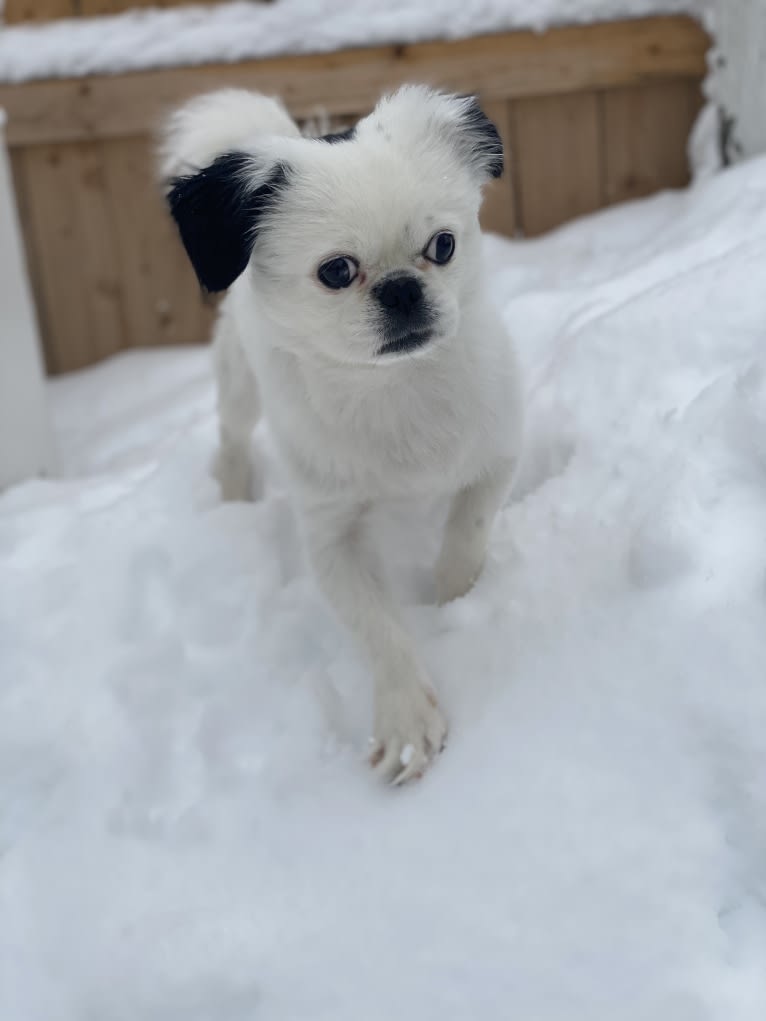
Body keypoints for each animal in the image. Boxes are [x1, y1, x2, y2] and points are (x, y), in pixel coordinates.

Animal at [161, 87, 522, 784]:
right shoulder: (334, 530)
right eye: (336, 271)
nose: (402, 289)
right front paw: (407, 722)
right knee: (232, 439)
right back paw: (233, 493)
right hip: (239, 385)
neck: (393, 389)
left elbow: (466, 534)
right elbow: (378, 626)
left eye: (443, 245)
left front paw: (456, 602)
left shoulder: (496, 451)